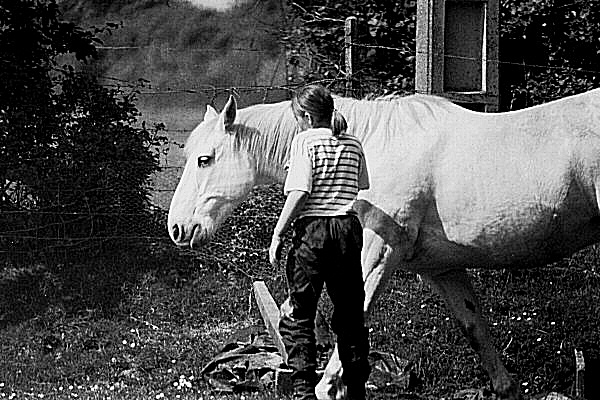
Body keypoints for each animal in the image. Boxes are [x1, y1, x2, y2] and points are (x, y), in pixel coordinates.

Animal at [166, 89, 600, 398]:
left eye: (205, 160)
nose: (177, 228)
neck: (369, 148)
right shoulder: (443, 271)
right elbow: (476, 329)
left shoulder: (376, 257)